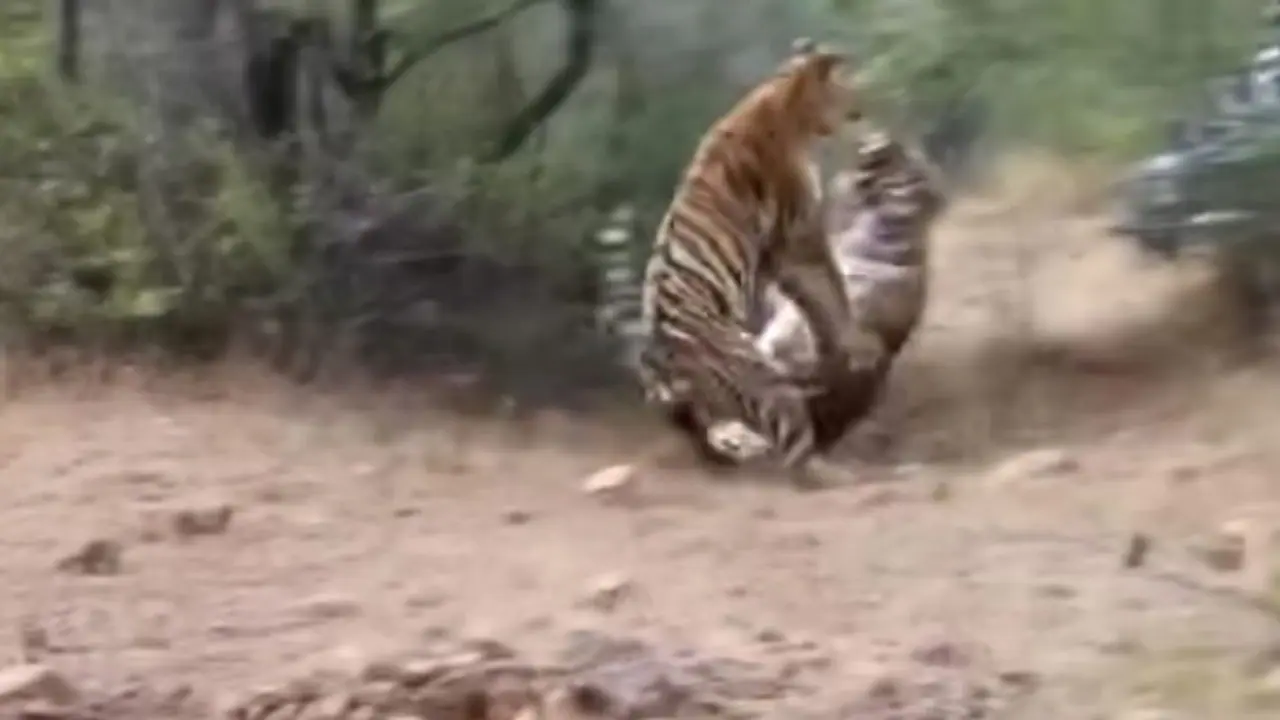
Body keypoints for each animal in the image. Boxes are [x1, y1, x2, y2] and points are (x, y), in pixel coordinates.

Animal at [631, 38, 873, 488]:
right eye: (844, 87)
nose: (860, 109)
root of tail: (659, 358)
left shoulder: (781, 257)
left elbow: (818, 304)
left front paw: (833, 351)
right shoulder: (798, 242)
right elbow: (831, 290)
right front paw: (853, 343)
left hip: (696, 404)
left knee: (698, 432)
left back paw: (726, 459)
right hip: (764, 377)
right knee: (798, 452)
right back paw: (837, 473)